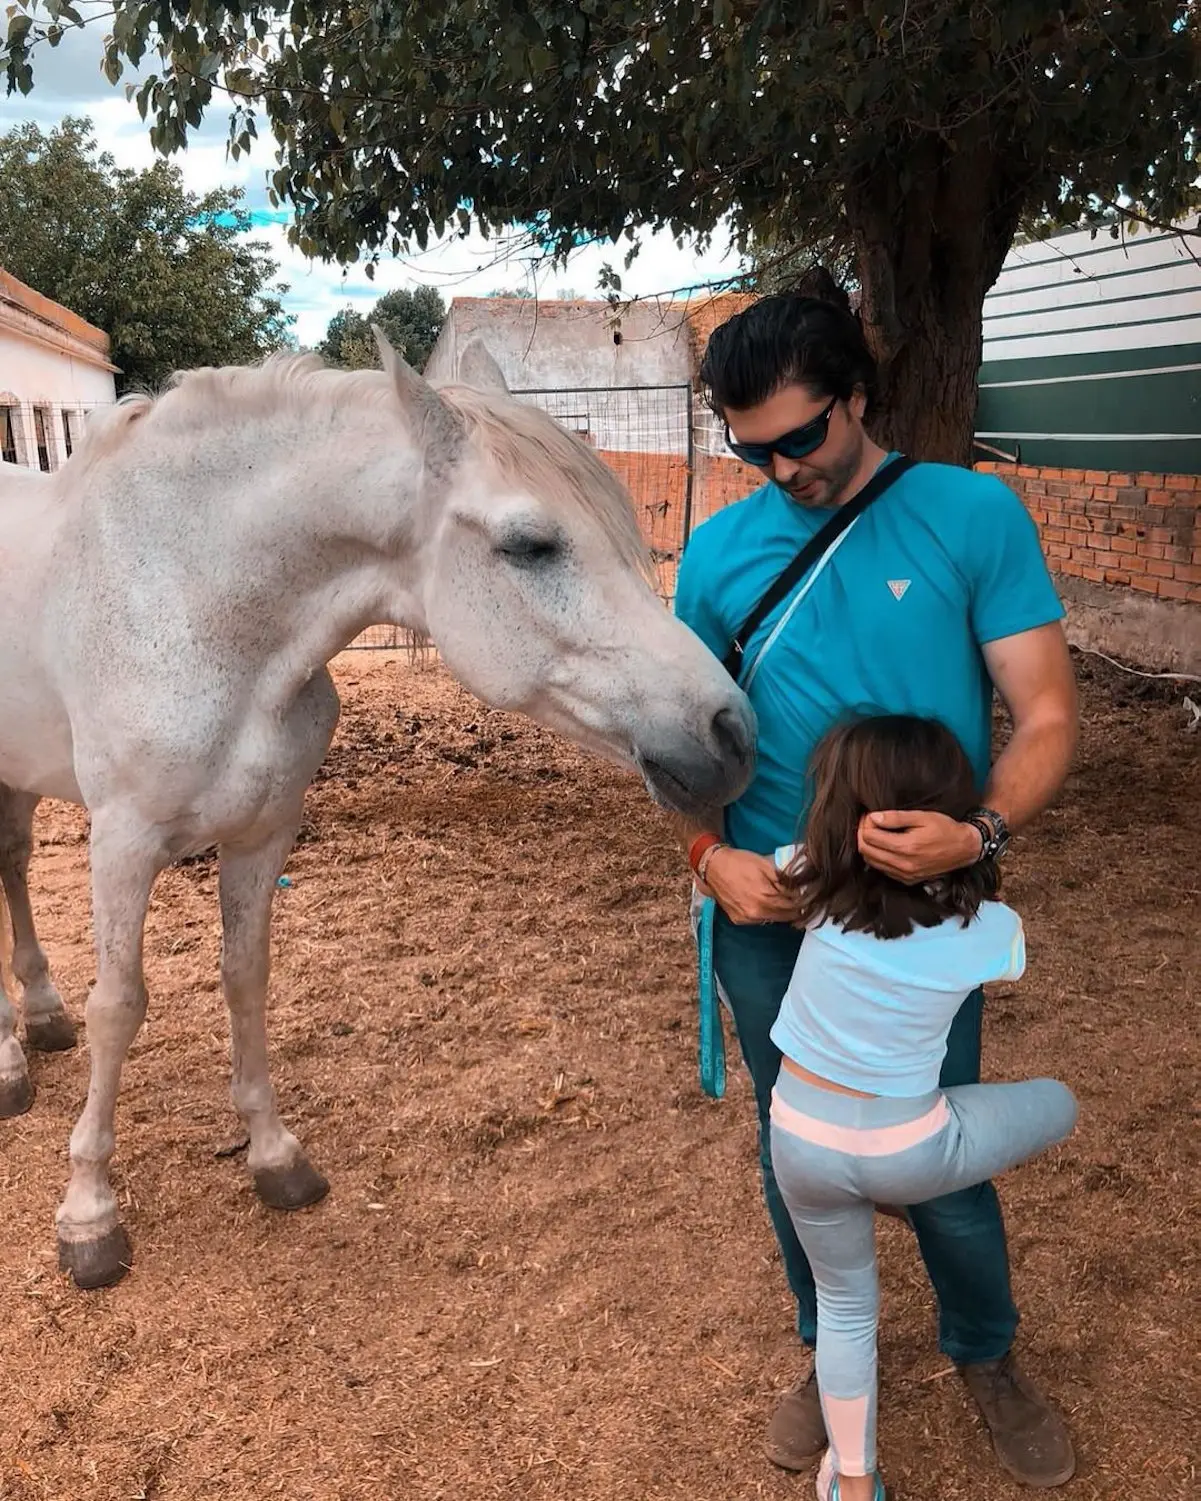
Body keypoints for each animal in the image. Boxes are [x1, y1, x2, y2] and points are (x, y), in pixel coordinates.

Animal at [0, 331, 750, 1290]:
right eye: (531, 545)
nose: (729, 733)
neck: (190, 598)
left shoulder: (263, 832)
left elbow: (245, 977)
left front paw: (273, 1154)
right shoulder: (121, 843)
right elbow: (120, 1007)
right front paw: (89, 1211)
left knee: (12, 866)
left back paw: (38, 1018)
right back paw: (11, 1061)